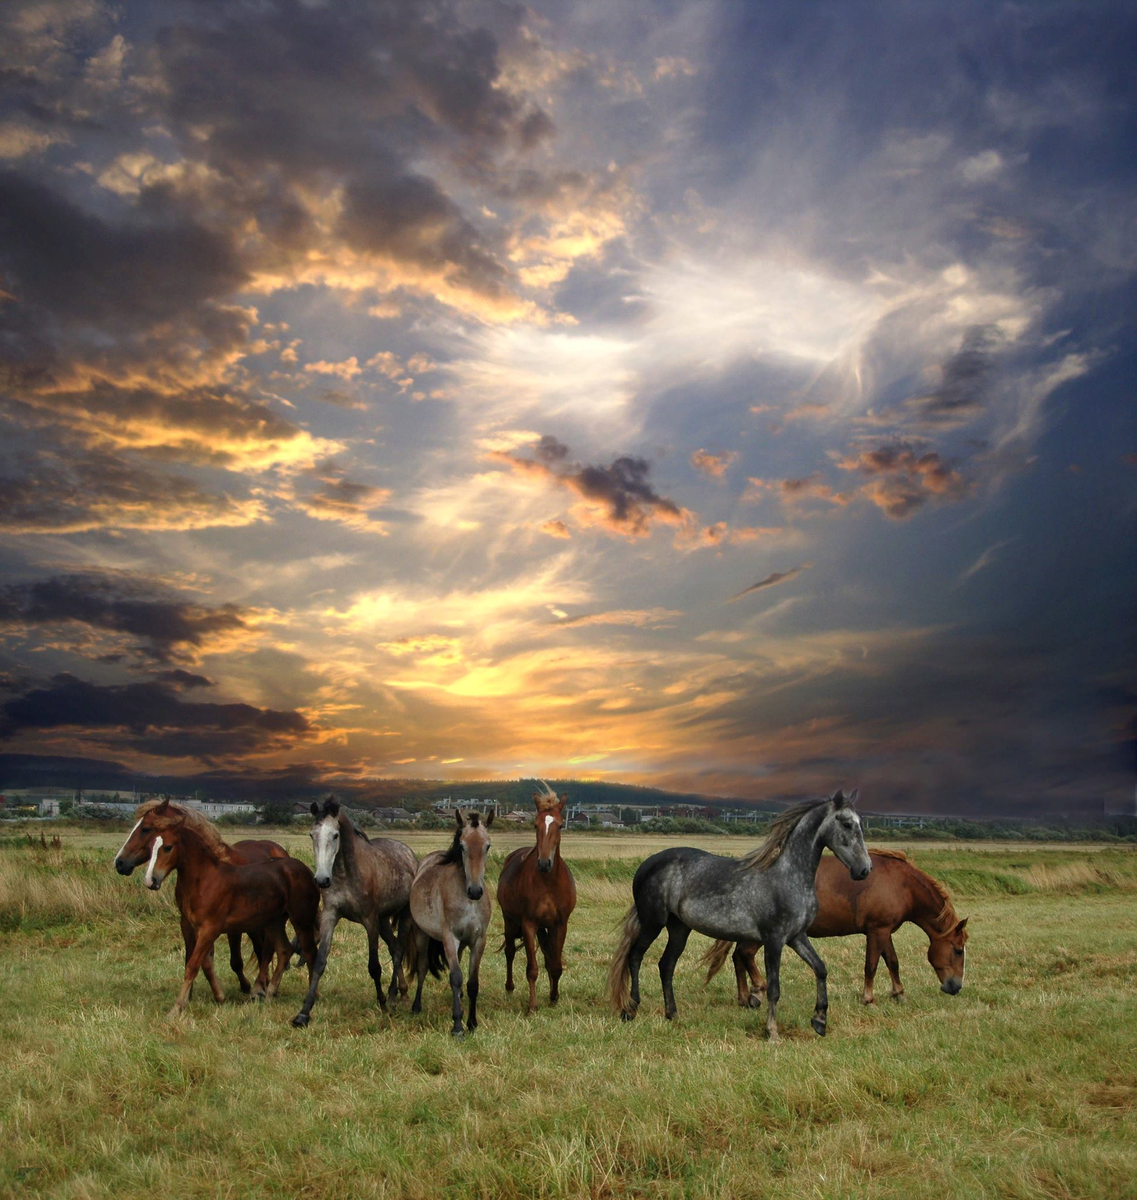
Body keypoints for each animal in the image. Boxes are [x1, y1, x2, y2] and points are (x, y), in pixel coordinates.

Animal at [113, 796, 316, 1012]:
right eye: (152, 846)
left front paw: (179, 1006)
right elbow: (199, 961)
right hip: (272, 922)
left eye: (145, 829)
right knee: (282, 950)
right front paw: (210, 996)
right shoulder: (191, 926)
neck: (205, 877)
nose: (120, 863)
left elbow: (205, 963)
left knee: (299, 951)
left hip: (297, 919)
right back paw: (267, 991)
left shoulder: (215, 928)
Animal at [410, 811, 494, 1036]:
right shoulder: (450, 938)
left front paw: (472, 1022)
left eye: (487, 846)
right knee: (422, 967)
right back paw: (416, 1006)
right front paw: (457, 1026)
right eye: (462, 846)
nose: (475, 891)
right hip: (422, 935)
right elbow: (455, 977)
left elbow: (473, 982)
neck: (467, 901)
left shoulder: (478, 940)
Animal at [496, 777, 578, 1012]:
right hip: (510, 920)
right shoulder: (529, 924)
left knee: (547, 956)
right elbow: (532, 968)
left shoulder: (559, 924)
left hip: (544, 927)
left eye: (560, 825)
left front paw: (554, 996)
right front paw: (532, 1006)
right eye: (535, 825)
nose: (544, 863)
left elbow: (555, 963)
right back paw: (509, 987)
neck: (548, 883)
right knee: (510, 952)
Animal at [614, 787, 868, 1041]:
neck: (788, 877)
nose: (864, 870)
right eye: (847, 824)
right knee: (635, 957)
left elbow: (820, 969)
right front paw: (772, 1032)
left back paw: (672, 1014)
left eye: (860, 823)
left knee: (666, 965)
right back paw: (630, 1009)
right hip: (652, 923)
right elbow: (774, 988)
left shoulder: (797, 937)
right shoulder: (774, 940)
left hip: (679, 928)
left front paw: (819, 1021)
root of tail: (646, 865)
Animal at [700, 849, 969, 1008]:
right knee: (743, 955)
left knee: (738, 957)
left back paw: (744, 997)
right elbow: (872, 965)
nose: (955, 987)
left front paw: (898, 993)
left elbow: (892, 962)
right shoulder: (877, 930)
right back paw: (756, 993)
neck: (902, 884)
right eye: (958, 950)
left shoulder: (884, 931)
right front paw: (868, 998)